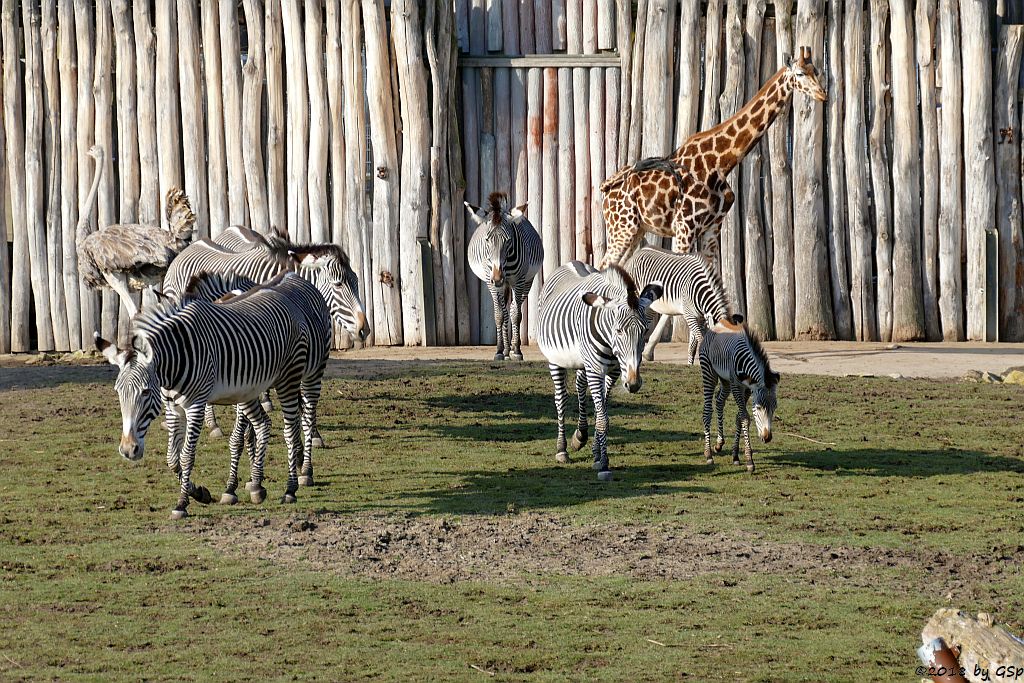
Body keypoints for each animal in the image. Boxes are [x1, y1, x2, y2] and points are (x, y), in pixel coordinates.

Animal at [94, 270, 329, 518]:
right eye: (118, 392)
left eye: (146, 392)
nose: (128, 450)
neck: (174, 361)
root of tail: (286, 281)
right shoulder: (172, 407)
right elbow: (172, 458)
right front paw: (199, 493)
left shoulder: (196, 405)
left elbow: (186, 455)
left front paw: (182, 503)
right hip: (249, 389)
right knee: (263, 424)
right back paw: (257, 486)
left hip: (295, 377)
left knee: (294, 428)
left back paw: (293, 486)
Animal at [466, 191, 544, 360]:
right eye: (487, 240)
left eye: (508, 240)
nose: (498, 278)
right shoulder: (491, 282)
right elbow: (499, 315)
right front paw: (499, 351)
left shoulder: (519, 280)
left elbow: (516, 314)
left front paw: (517, 351)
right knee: (504, 311)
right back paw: (506, 350)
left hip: (526, 281)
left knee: (514, 308)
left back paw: (513, 348)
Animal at [536, 262, 663, 481]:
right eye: (619, 330)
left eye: (645, 330)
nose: (633, 383)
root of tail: (571, 263)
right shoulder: (596, 369)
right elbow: (603, 419)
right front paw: (603, 464)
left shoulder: (613, 371)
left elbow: (600, 412)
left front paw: (595, 453)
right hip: (556, 359)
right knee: (560, 399)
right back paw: (562, 450)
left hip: (583, 362)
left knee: (580, 386)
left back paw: (580, 436)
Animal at [598, 43, 827, 270]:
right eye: (800, 73)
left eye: (816, 71)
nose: (822, 94)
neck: (720, 164)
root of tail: (606, 191)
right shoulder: (684, 227)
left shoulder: (713, 227)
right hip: (622, 228)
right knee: (602, 266)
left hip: (637, 229)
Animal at [700, 315, 778, 475]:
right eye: (759, 408)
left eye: (774, 408)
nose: (767, 438)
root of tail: (717, 324)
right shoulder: (737, 386)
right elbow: (744, 418)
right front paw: (749, 461)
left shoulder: (747, 389)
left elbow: (738, 417)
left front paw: (735, 455)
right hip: (709, 373)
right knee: (707, 411)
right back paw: (708, 454)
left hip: (725, 380)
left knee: (719, 401)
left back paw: (719, 443)